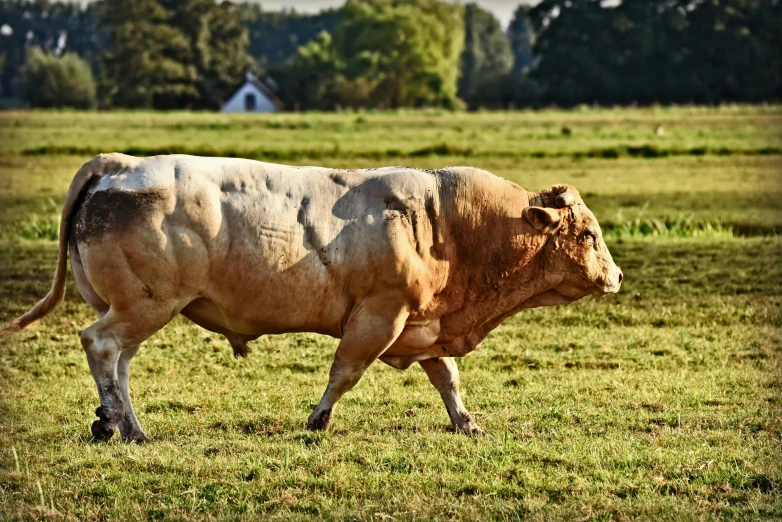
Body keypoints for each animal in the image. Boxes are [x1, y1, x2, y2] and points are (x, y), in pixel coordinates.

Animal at [1, 153, 624, 438]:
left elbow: (447, 377)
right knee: (102, 347)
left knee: (118, 361)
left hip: (136, 307)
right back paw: (121, 425)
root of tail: (120, 166)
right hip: (144, 305)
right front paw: (318, 419)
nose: (616, 277)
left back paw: (119, 422)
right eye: (589, 235)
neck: (446, 225)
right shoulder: (381, 315)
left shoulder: (423, 323)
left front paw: (466, 422)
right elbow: (345, 370)